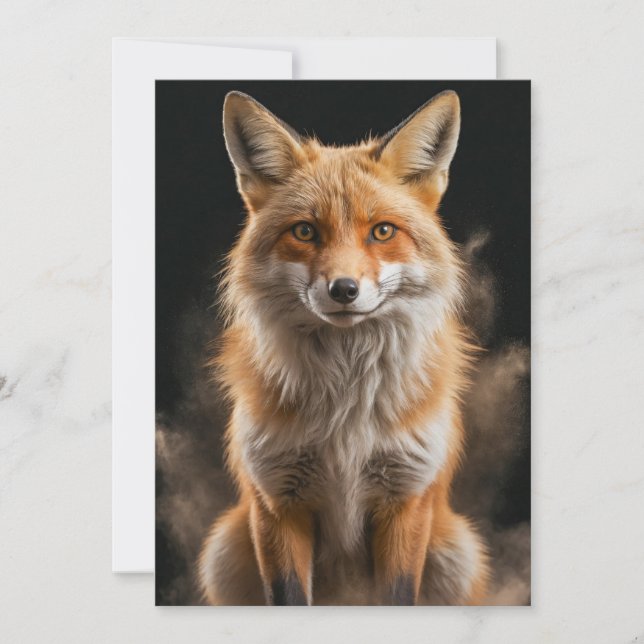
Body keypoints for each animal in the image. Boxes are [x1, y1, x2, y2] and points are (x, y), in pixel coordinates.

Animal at [198, 89, 490, 605]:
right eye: (305, 231)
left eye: (382, 231)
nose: (344, 290)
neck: (346, 405)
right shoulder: (277, 503)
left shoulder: (405, 500)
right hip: (224, 550)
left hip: (458, 551)